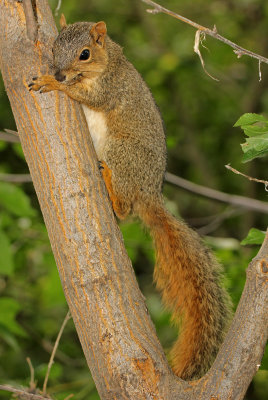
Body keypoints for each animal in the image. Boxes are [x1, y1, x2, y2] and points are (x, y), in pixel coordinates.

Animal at [28, 16, 231, 382]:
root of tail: (149, 193)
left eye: (84, 53)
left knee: (124, 209)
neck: (109, 61)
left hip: (121, 152)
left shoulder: (111, 89)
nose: (60, 73)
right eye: (53, 47)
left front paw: (52, 83)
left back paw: (110, 185)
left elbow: (90, 97)